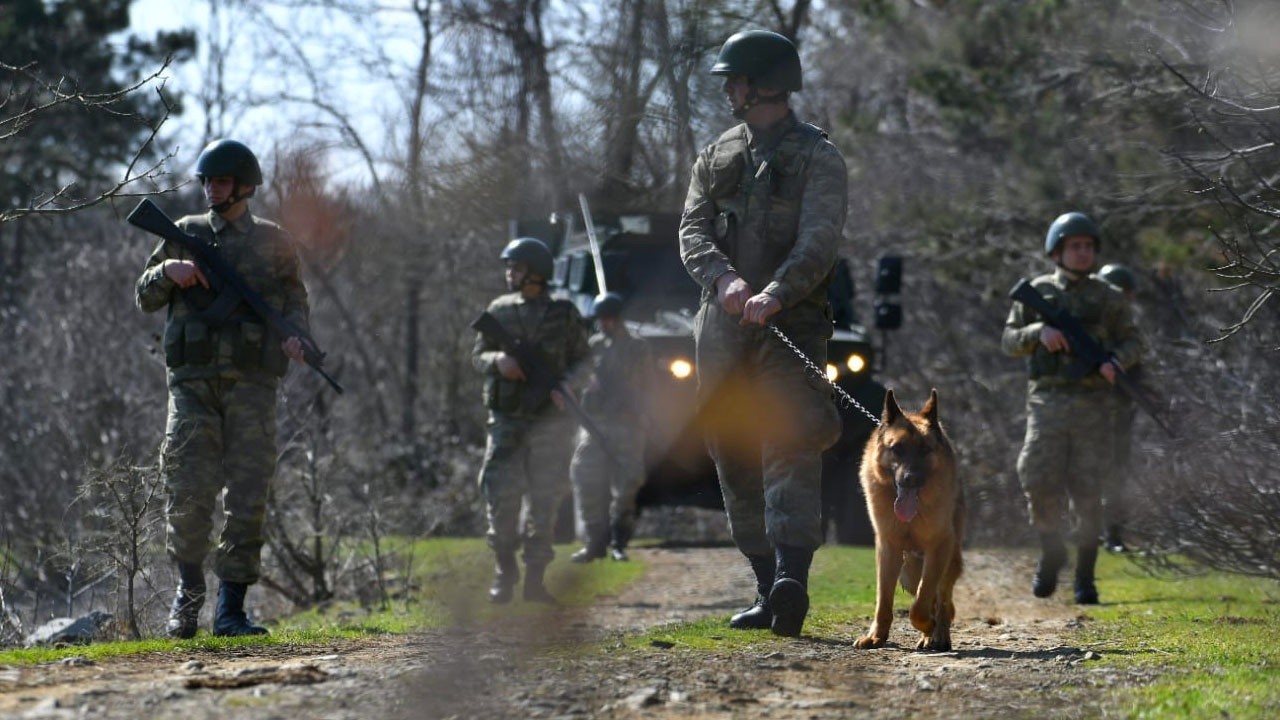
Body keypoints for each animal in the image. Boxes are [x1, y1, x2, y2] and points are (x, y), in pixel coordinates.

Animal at [855, 389, 962, 648]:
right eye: (897, 448)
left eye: (925, 450)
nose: (910, 478)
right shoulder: (888, 549)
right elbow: (883, 600)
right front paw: (876, 636)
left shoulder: (939, 547)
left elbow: (921, 604)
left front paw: (929, 626)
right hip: (910, 570)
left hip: (947, 560)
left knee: (941, 599)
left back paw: (938, 634)